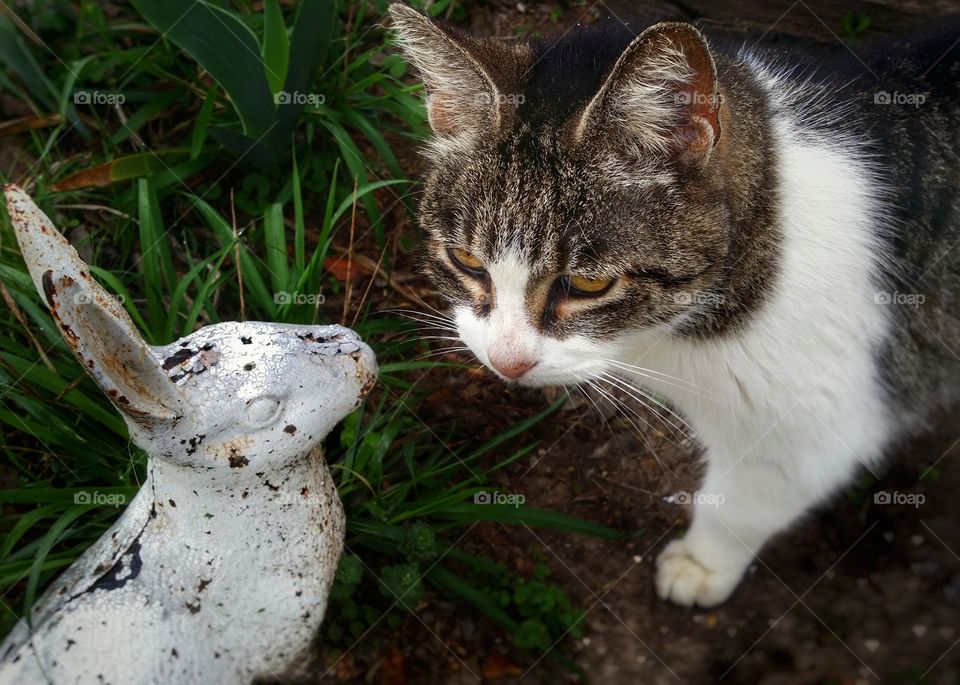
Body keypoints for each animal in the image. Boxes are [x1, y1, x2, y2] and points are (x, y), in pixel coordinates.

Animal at [388, 2, 960, 608]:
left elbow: (743, 505)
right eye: (466, 260)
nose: (506, 362)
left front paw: (703, 565)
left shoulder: (814, 426)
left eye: (588, 285)